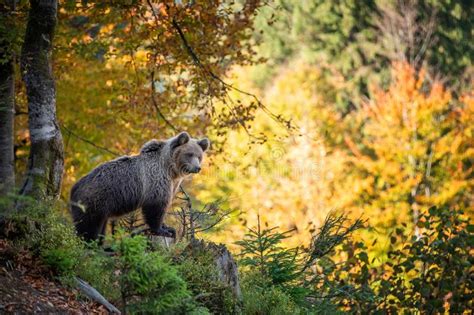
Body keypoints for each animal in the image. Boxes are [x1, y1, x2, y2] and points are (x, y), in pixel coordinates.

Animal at [69, 132, 209, 241]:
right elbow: (155, 206)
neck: (170, 169)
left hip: (102, 209)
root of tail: (74, 188)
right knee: (89, 227)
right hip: (94, 201)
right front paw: (162, 230)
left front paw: (168, 228)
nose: (197, 167)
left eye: (199, 156)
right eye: (189, 154)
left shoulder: (172, 184)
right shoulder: (155, 179)